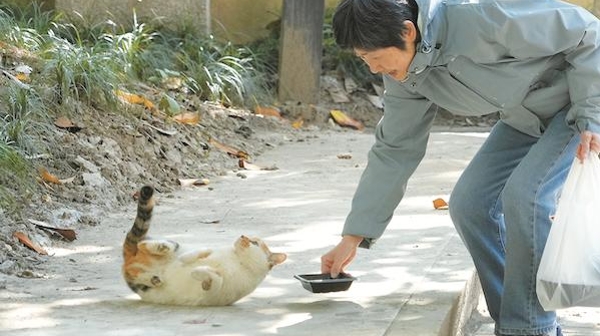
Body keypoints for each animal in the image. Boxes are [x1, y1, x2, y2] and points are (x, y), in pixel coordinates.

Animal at [121, 185, 286, 306]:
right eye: (250, 237)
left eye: (254, 243)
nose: (242, 236)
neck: (237, 261)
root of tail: (130, 258)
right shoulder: (198, 252)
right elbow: (197, 253)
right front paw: (199, 258)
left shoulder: (215, 296)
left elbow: (216, 279)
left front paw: (201, 273)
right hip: (171, 246)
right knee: (145, 245)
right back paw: (161, 249)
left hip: (142, 286)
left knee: (132, 272)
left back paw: (153, 278)